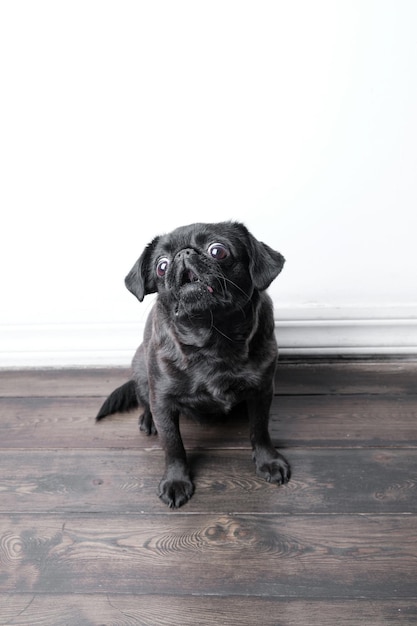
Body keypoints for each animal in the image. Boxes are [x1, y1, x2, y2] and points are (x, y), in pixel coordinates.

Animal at [96, 222, 290, 504]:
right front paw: (176, 480)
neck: (212, 339)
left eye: (217, 250)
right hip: (141, 371)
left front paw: (268, 461)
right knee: (145, 402)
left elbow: (260, 430)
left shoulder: (262, 392)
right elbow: (173, 446)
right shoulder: (163, 402)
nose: (184, 253)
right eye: (161, 265)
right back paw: (148, 421)